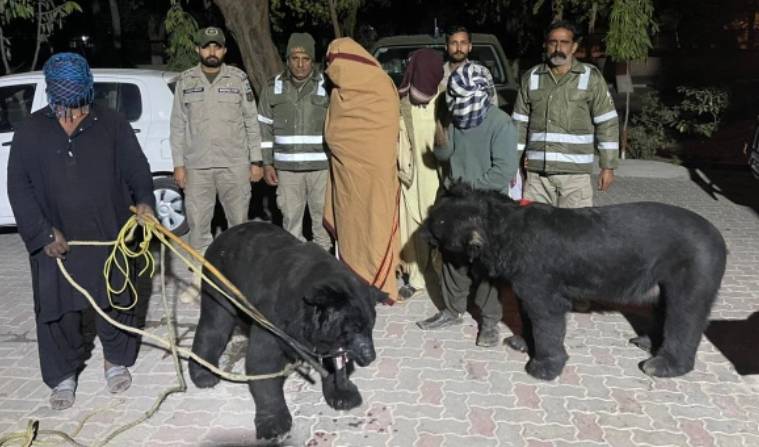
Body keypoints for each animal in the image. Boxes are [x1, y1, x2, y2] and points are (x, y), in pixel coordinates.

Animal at [189, 222, 384, 440]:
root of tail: (221, 236)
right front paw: (274, 423)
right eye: (354, 329)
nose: (370, 356)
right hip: (219, 283)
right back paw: (203, 374)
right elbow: (263, 362)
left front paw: (343, 394)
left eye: (370, 327)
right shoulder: (273, 317)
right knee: (214, 325)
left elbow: (333, 362)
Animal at [422, 184, 727, 381]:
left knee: (684, 313)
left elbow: (546, 313)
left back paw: (661, 365)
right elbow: (526, 307)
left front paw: (542, 366)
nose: (421, 235)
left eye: (436, 230)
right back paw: (645, 340)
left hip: (693, 267)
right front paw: (520, 341)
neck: (501, 227)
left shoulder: (538, 271)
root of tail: (719, 238)